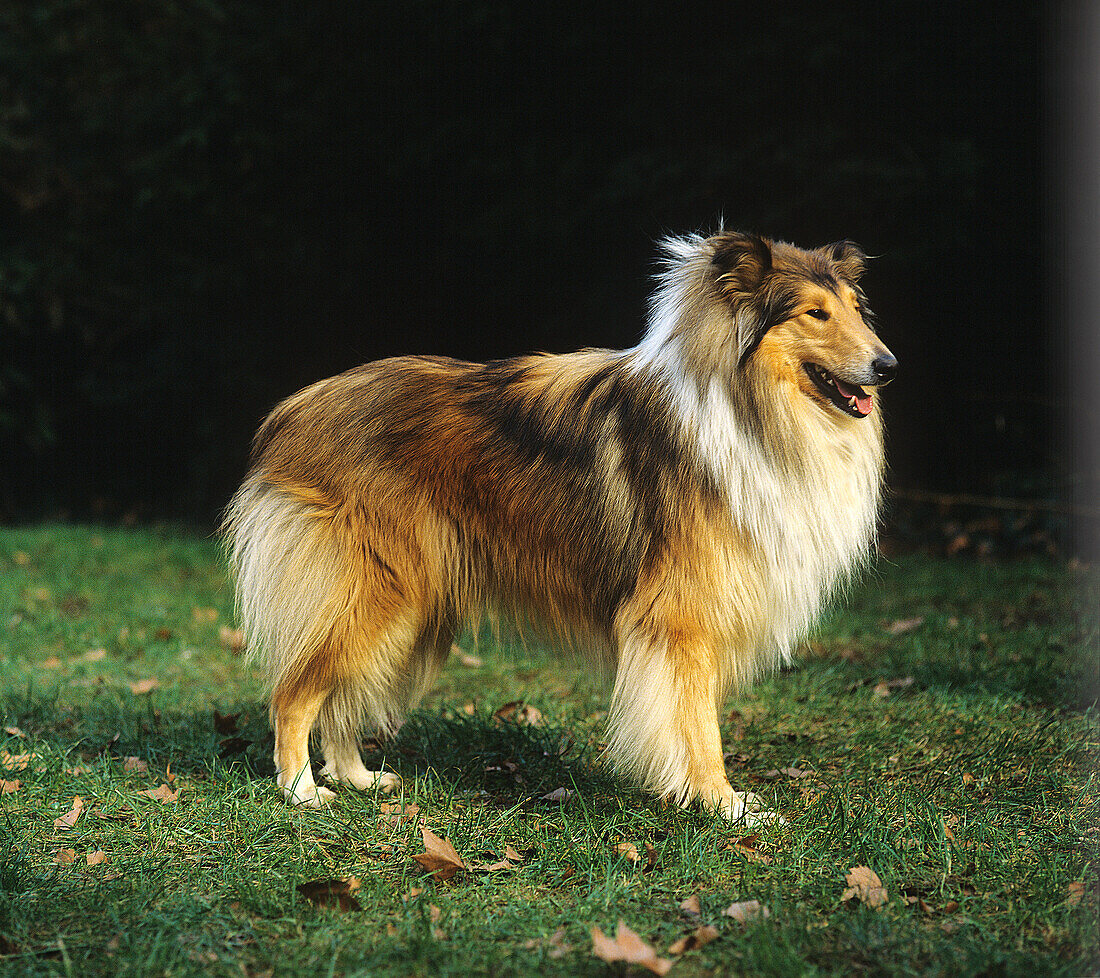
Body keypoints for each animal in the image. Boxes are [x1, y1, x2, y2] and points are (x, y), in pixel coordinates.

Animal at [223, 233, 893, 818]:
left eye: (857, 310)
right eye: (815, 313)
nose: (887, 365)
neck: (747, 406)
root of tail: (293, 411)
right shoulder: (681, 618)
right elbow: (697, 722)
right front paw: (722, 804)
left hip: (411, 605)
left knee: (342, 693)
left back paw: (357, 778)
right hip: (376, 590)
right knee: (294, 692)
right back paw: (301, 791)